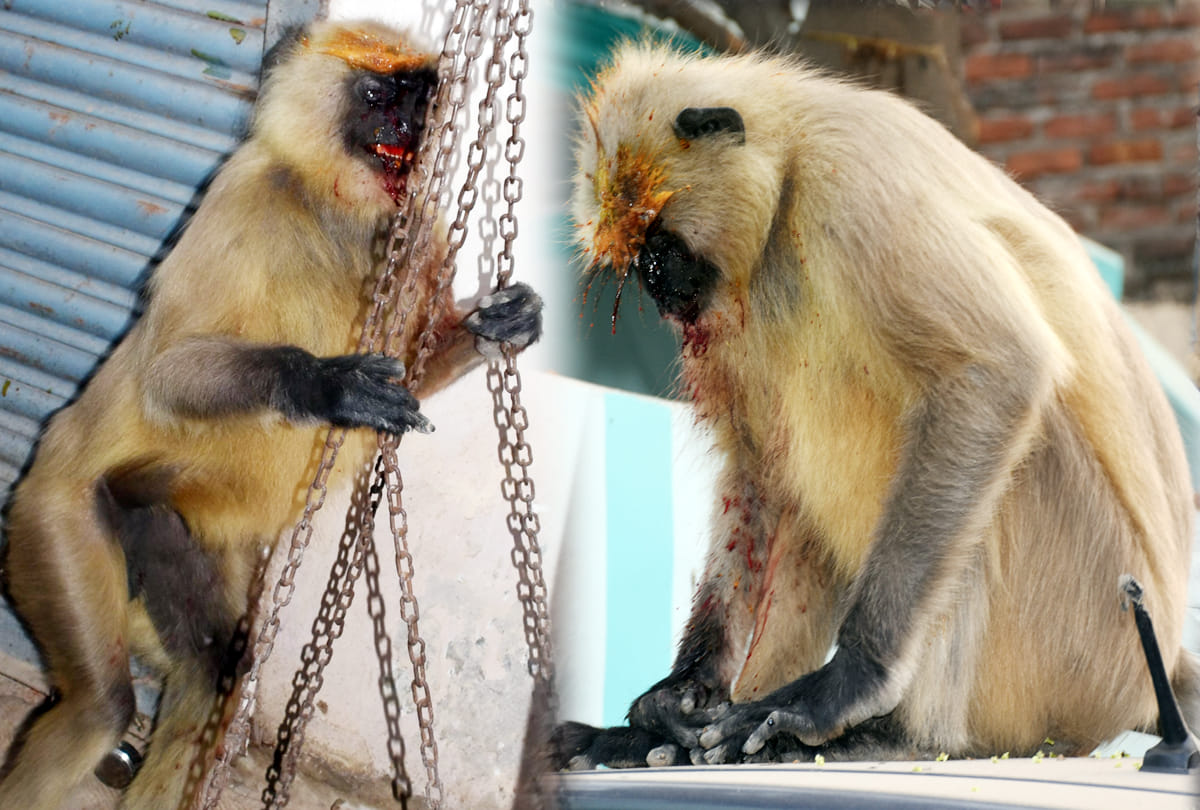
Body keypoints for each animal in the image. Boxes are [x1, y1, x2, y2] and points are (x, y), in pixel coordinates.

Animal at [0, 19, 541, 809]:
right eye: (377, 96)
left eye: (419, 98)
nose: (406, 129)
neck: (336, 204)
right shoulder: (244, 192)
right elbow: (166, 374)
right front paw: (324, 386)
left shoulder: (421, 227)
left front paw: (502, 325)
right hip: (55, 513)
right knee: (100, 706)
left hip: (167, 519)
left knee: (217, 672)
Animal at [553, 41, 1199, 769]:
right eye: (638, 260)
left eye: (659, 244)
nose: (657, 285)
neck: (790, 166)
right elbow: (761, 472)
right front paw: (680, 693)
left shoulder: (850, 183)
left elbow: (998, 370)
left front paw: (851, 678)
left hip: (1090, 636)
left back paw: (900, 734)